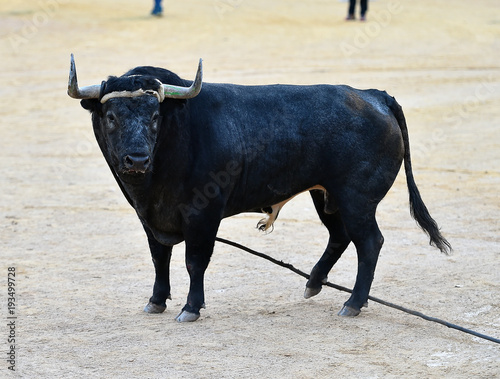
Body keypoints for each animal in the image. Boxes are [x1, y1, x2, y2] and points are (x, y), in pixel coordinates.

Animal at [66, 57, 450, 324]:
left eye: (155, 116)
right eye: (111, 116)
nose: (137, 158)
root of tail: (374, 95)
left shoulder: (203, 214)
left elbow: (194, 260)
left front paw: (191, 308)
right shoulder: (150, 216)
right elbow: (160, 258)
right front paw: (156, 301)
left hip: (357, 200)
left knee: (369, 242)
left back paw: (352, 303)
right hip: (327, 196)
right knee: (340, 236)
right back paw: (314, 283)